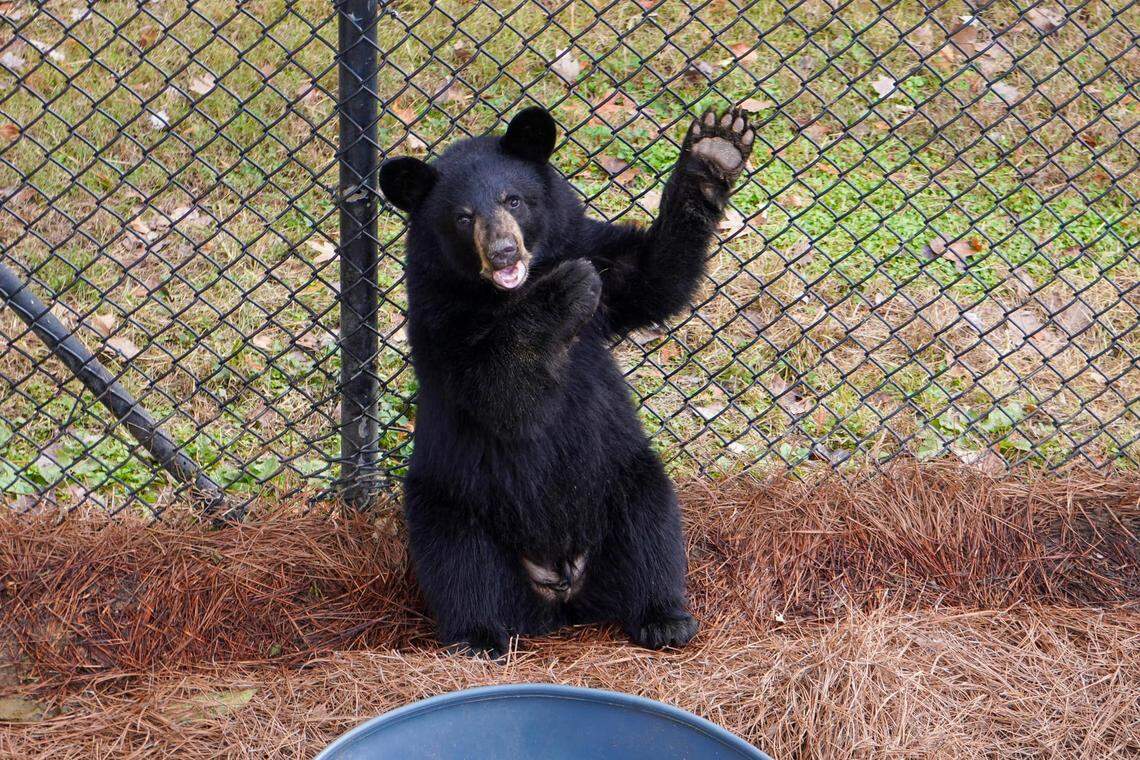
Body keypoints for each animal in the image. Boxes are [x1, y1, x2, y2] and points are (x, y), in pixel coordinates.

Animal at [379, 105, 754, 657]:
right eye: (463, 217)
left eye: (513, 199)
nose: (504, 252)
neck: (502, 295)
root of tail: (562, 589)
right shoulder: (439, 322)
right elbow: (499, 396)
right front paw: (564, 288)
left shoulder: (598, 255)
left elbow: (654, 276)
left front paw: (716, 149)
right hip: (449, 502)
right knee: (460, 567)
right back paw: (478, 638)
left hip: (623, 477)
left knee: (652, 532)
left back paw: (664, 617)